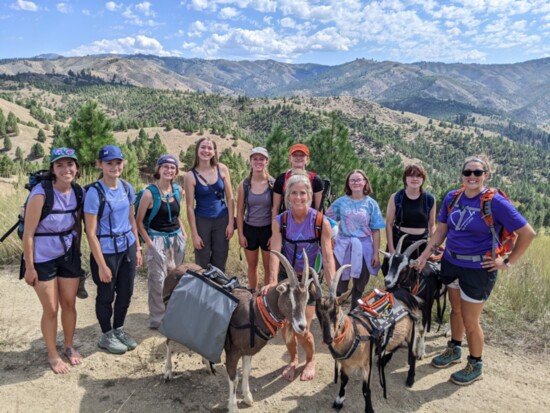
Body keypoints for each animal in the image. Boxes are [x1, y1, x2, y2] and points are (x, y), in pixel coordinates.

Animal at [163, 249, 314, 412]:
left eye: (306, 299)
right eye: (289, 299)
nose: (301, 326)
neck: (256, 312)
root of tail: (174, 269)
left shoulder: (247, 350)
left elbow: (246, 372)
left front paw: (247, 398)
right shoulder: (233, 352)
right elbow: (233, 378)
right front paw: (233, 406)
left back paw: (207, 366)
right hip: (172, 316)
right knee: (168, 342)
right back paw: (168, 372)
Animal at [312, 264, 420, 412]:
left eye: (336, 311)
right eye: (317, 313)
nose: (328, 338)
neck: (354, 335)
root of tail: (405, 292)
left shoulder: (366, 365)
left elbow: (365, 390)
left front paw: (369, 409)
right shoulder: (345, 365)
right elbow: (343, 381)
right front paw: (339, 401)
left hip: (411, 331)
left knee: (413, 353)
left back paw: (410, 379)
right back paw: (383, 360)